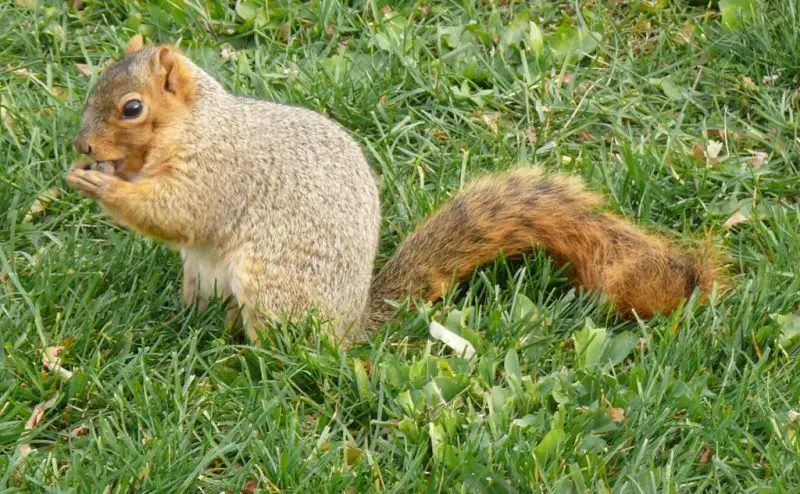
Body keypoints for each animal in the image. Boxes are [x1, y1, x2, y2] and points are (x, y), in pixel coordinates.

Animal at [66, 35, 717, 345]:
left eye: (131, 107)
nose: (83, 147)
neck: (195, 126)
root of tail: (350, 323)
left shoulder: (222, 172)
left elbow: (180, 211)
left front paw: (100, 187)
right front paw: (100, 176)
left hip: (273, 287)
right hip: (201, 277)